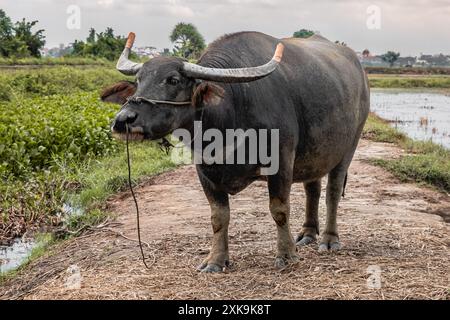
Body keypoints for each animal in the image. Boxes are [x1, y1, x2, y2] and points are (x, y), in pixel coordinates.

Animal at [102, 31, 370, 272]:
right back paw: (307, 233)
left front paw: (286, 256)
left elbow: (279, 210)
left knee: (332, 191)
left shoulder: (281, 161)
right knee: (312, 188)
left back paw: (329, 239)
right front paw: (215, 261)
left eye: (173, 80)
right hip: (315, 153)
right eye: (139, 81)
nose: (124, 119)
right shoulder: (204, 171)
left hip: (349, 146)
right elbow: (219, 217)